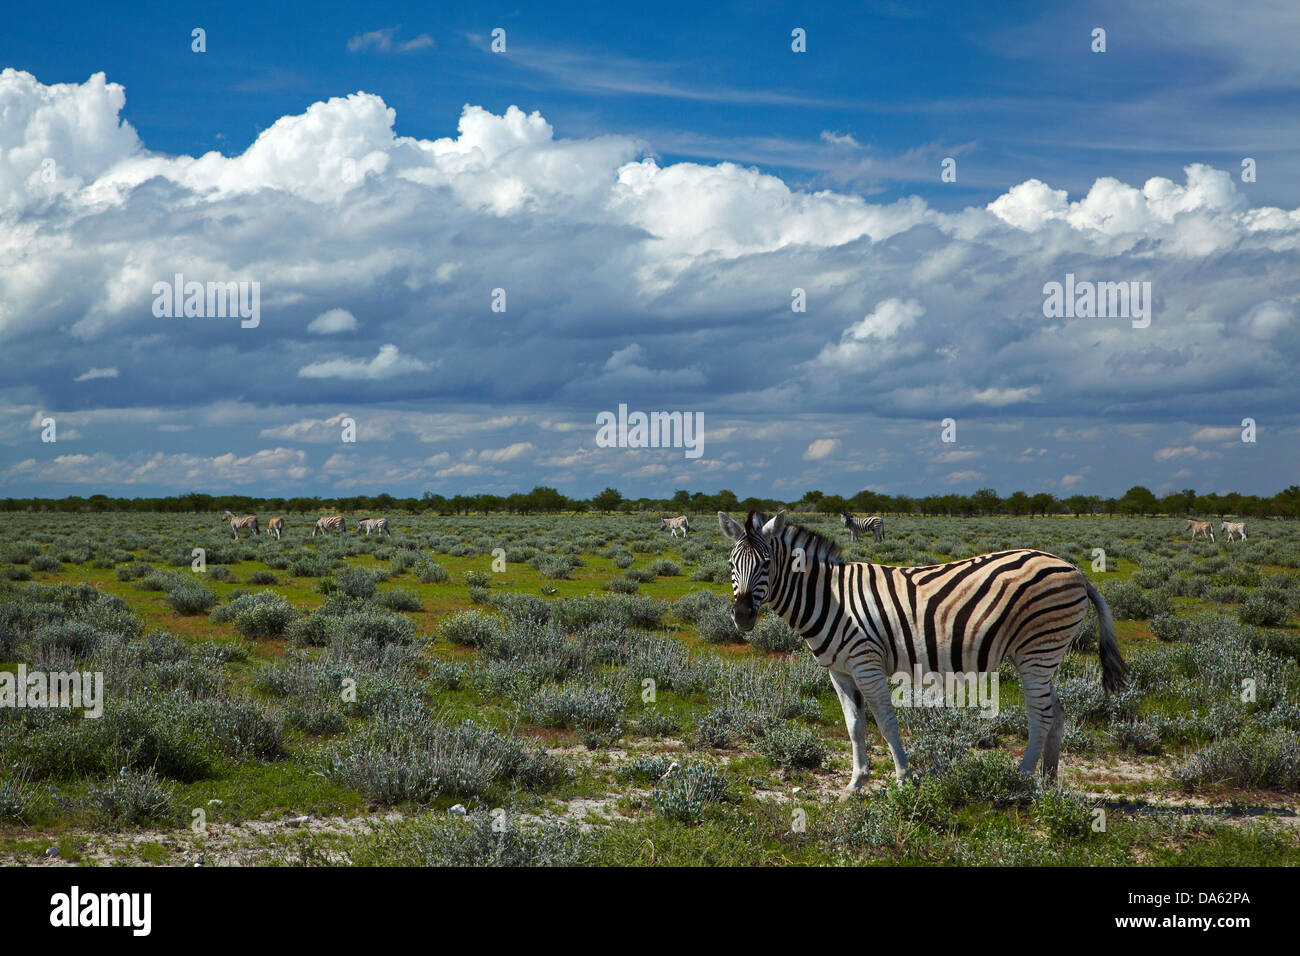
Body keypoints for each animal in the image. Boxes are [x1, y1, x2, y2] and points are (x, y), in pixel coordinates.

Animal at [717, 512, 1123, 790]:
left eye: (766, 563)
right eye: (731, 563)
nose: (742, 615)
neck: (829, 598)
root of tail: (1075, 569)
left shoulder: (866, 662)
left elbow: (884, 721)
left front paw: (901, 777)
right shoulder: (839, 670)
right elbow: (854, 726)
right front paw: (855, 784)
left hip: (1036, 651)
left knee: (1041, 714)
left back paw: (1021, 781)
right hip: (1042, 655)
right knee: (1057, 711)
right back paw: (1048, 781)